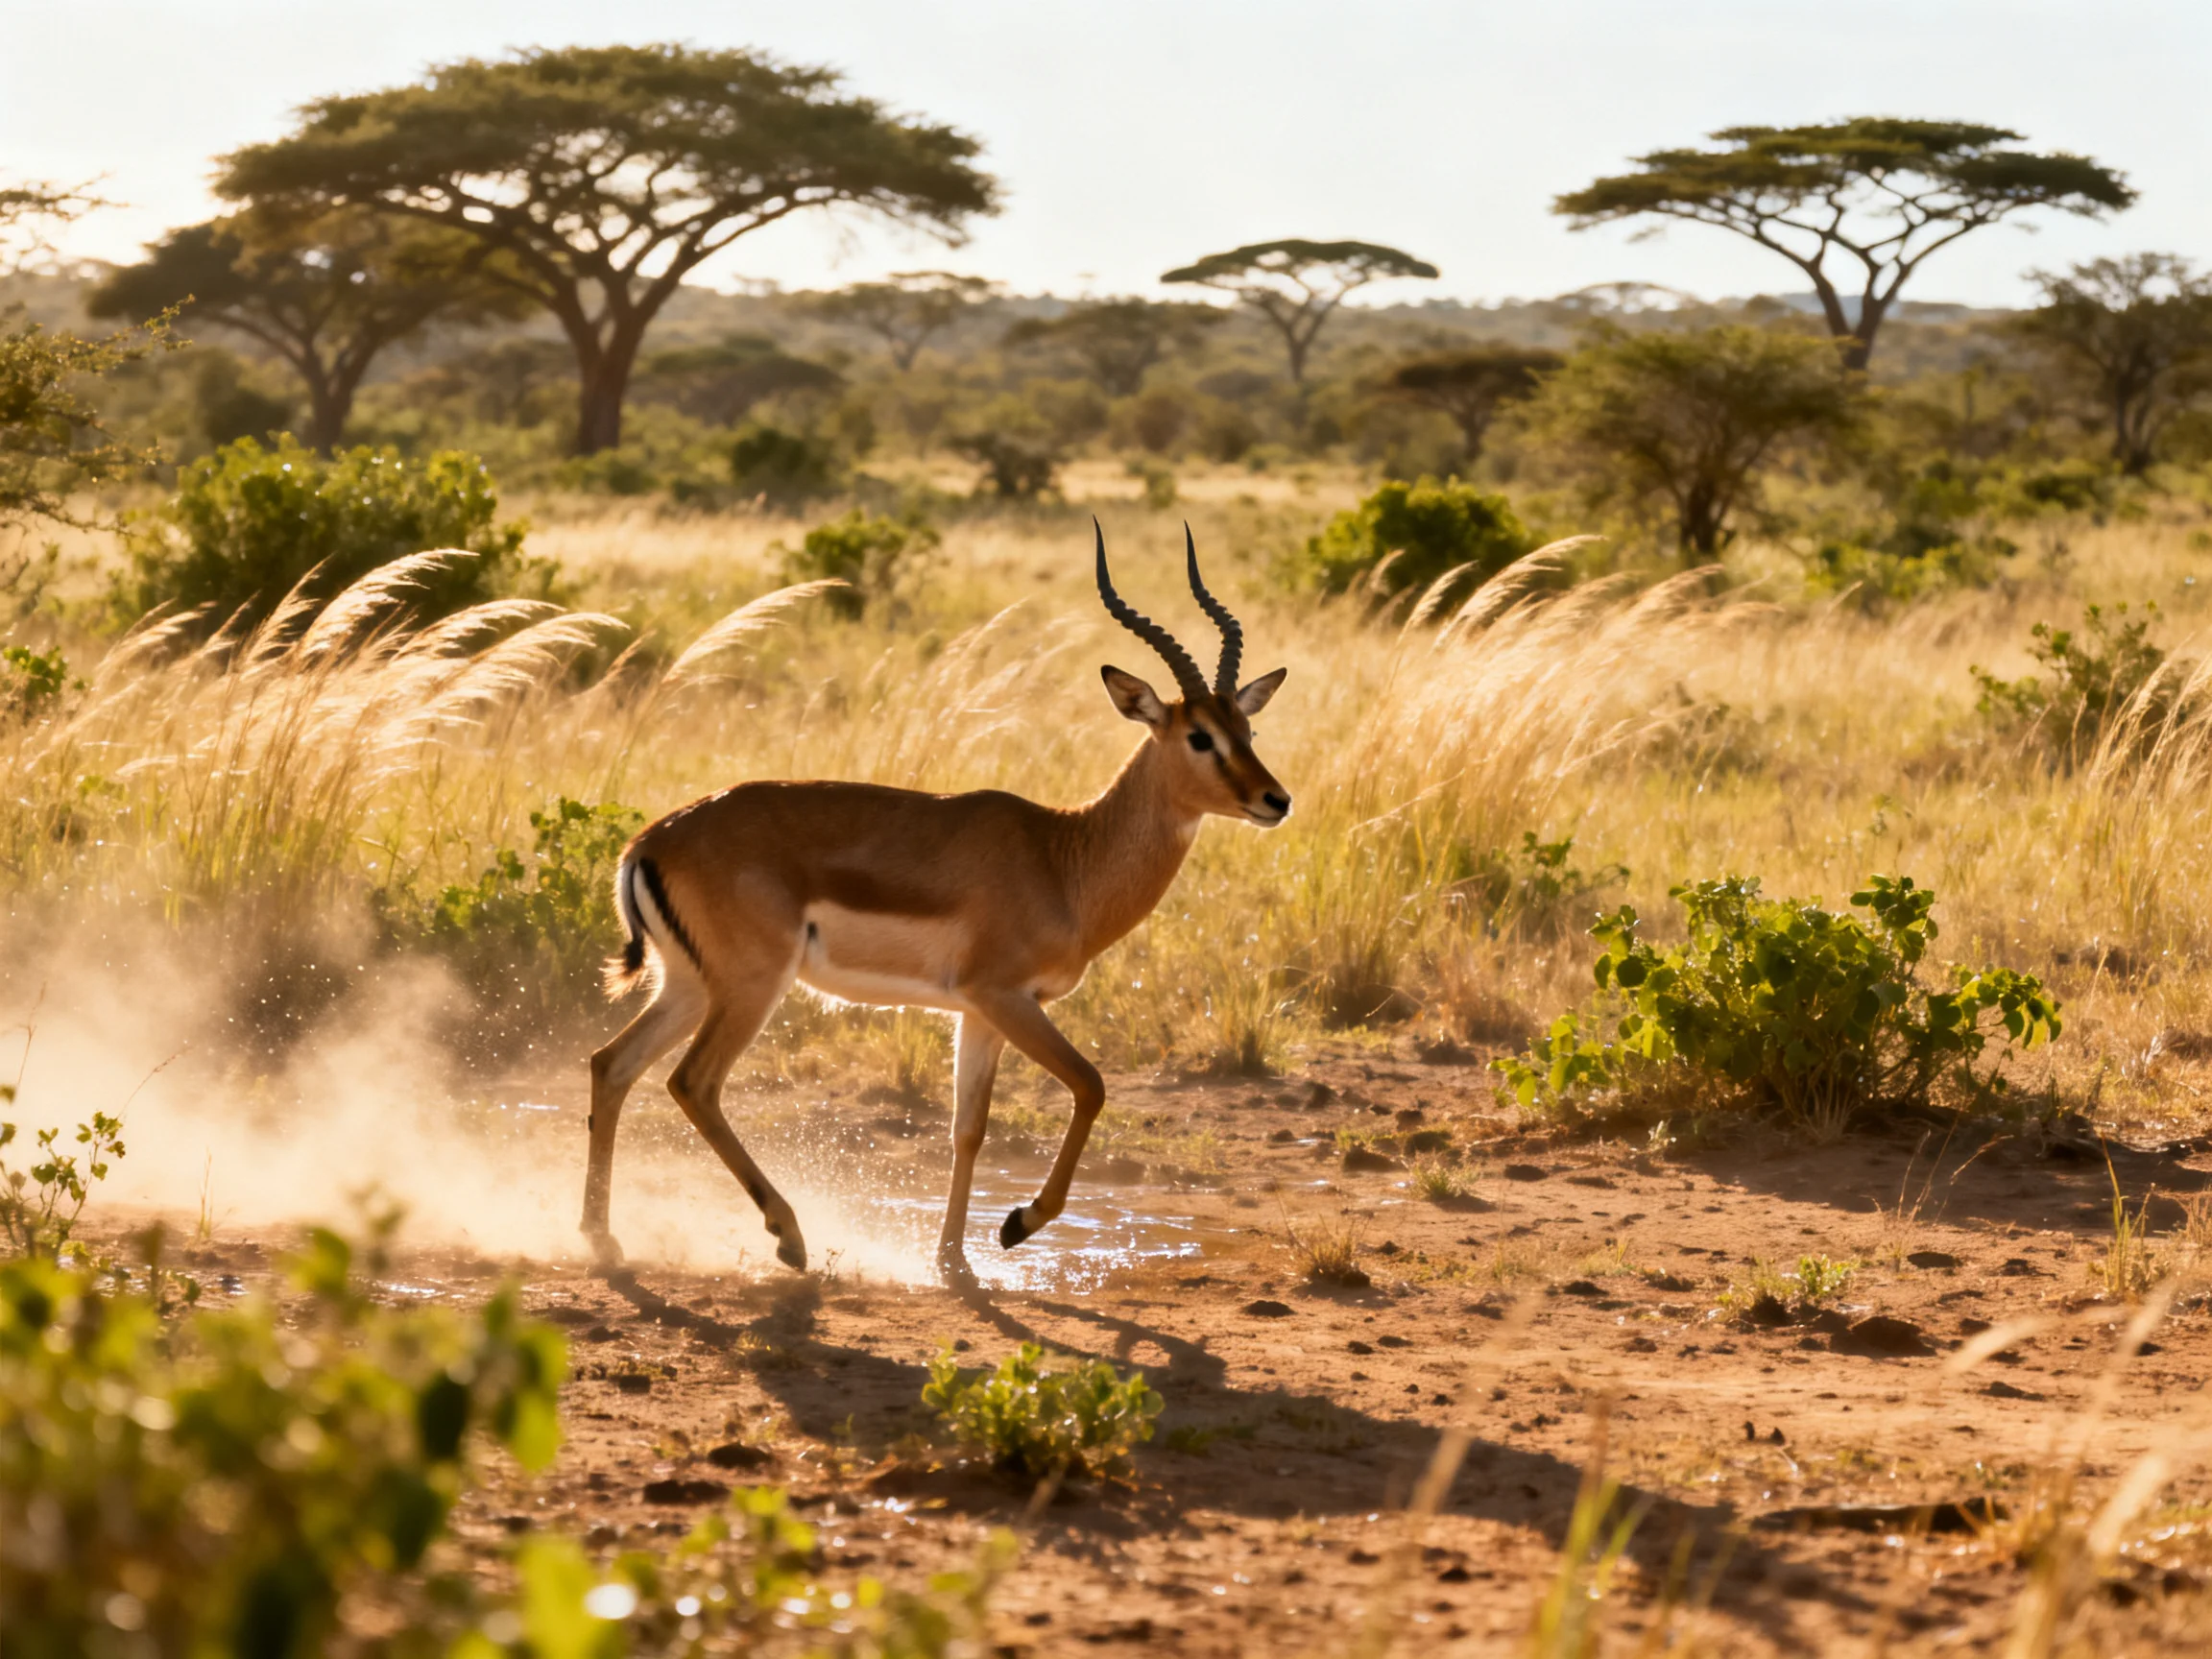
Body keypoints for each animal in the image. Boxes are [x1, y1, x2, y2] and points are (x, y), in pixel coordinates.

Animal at [582, 524, 1291, 1280]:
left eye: (1248, 732)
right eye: (1199, 736)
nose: (1275, 799)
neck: (1063, 857)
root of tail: (650, 842)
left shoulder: (978, 1014)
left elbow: (968, 1129)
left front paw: (955, 1260)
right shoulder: (1005, 997)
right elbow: (1091, 1085)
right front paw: (1016, 1225)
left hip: (689, 985)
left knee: (612, 1065)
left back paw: (604, 1239)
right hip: (751, 985)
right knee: (693, 1082)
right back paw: (788, 1237)